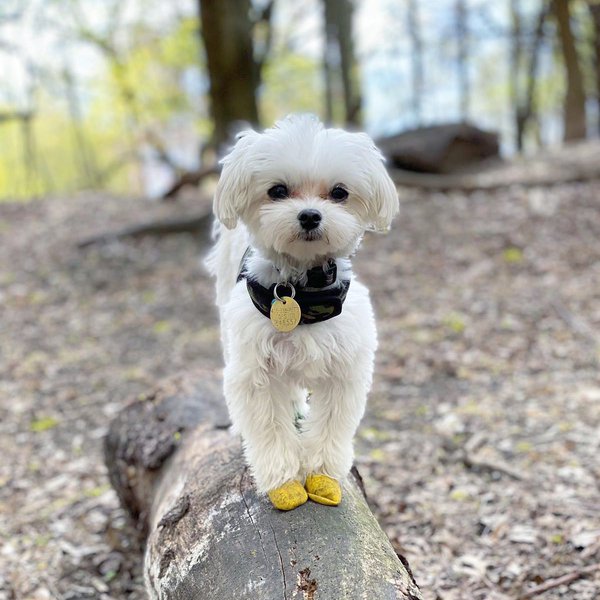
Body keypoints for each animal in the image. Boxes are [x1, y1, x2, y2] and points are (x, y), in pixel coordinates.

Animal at [206, 113, 398, 510]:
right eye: (278, 191)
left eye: (339, 192)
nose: (310, 215)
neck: (302, 290)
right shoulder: (256, 372)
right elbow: (269, 428)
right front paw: (284, 480)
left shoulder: (345, 370)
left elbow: (331, 424)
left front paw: (322, 475)